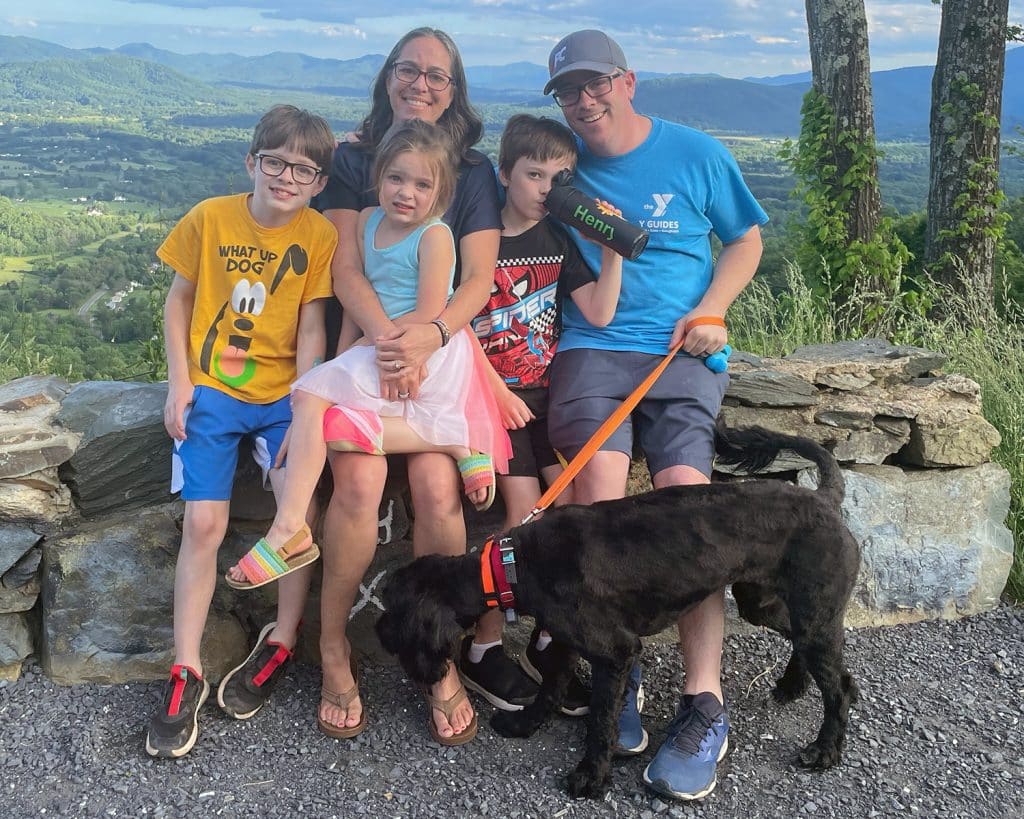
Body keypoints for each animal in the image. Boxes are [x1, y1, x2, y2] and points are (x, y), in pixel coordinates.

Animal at [376, 425, 856, 798]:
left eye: (393, 609)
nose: (379, 631)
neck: (512, 565)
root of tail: (824, 499)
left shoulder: (617, 651)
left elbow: (601, 720)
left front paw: (590, 776)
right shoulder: (564, 641)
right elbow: (549, 689)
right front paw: (526, 724)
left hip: (812, 611)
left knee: (840, 687)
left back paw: (826, 750)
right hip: (766, 602)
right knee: (805, 645)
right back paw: (792, 685)